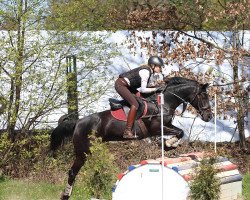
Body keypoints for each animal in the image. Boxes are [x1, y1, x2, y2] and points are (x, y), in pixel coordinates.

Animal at [50, 76, 213, 198]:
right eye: (203, 96)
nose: (209, 116)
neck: (164, 102)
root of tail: (78, 122)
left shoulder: (165, 126)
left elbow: (180, 132)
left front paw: (169, 145)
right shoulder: (155, 128)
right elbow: (180, 132)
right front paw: (168, 145)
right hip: (83, 151)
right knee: (73, 172)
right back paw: (66, 195)